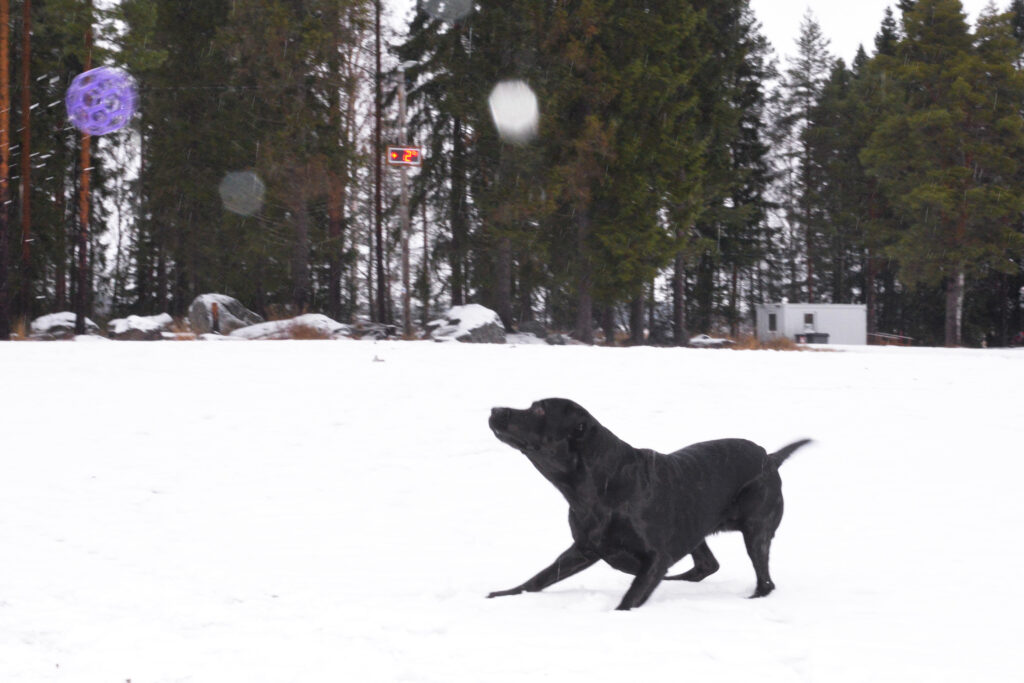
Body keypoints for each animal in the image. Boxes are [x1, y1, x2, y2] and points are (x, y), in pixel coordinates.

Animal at [483, 397, 811, 610]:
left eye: (539, 409)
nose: (495, 409)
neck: (596, 486)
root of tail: (770, 457)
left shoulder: (655, 557)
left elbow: (629, 599)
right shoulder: (583, 549)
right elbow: (539, 578)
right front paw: (504, 595)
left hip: (756, 532)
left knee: (764, 582)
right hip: (696, 527)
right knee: (706, 565)